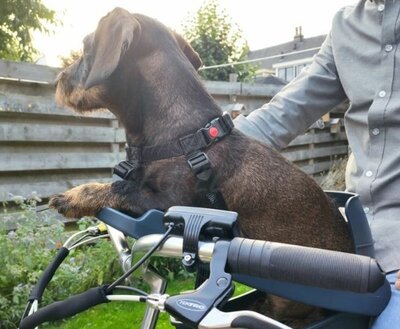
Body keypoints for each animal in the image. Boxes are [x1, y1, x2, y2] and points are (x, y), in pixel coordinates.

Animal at [50, 7, 354, 326]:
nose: (58, 79)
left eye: (86, 46)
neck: (182, 135)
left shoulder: (164, 203)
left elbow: (118, 187)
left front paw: (72, 196)